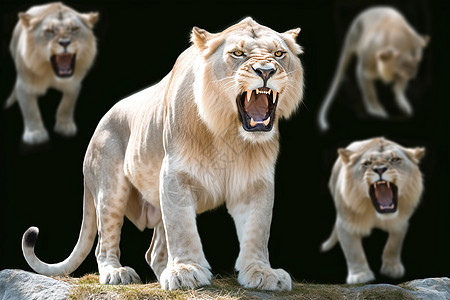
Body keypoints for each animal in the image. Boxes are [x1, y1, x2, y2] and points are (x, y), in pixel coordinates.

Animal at [4, 1, 98, 144]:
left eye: (74, 29)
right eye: (49, 31)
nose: (64, 42)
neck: (51, 74)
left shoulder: (74, 84)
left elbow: (67, 105)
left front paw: (65, 126)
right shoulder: (24, 85)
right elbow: (30, 110)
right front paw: (35, 133)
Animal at [21, 17, 302, 290]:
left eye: (278, 53)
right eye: (238, 53)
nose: (266, 71)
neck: (228, 132)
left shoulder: (256, 181)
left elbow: (257, 230)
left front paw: (262, 272)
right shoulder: (174, 175)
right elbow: (183, 229)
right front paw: (186, 271)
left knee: (154, 252)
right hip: (110, 188)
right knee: (105, 243)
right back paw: (116, 273)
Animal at [322, 138, 424, 284]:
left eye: (395, 159)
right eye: (367, 163)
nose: (380, 169)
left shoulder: (401, 222)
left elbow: (394, 244)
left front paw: (392, 268)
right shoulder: (346, 224)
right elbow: (353, 250)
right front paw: (360, 275)